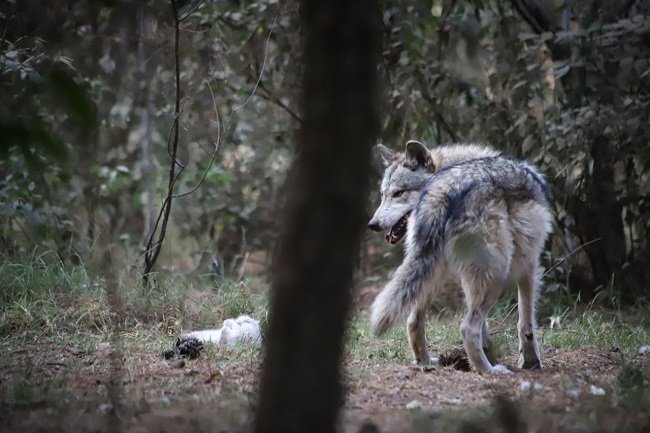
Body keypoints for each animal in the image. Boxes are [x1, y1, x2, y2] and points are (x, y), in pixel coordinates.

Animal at [368, 140, 552, 374]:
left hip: (431, 273)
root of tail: (441, 189)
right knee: (467, 328)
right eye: (384, 194)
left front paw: (493, 355)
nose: (372, 225)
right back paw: (490, 371)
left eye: (398, 193)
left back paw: (426, 362)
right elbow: (526, 322)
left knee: (413, 320)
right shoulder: (530, 264)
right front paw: (530, 361)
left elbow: (488, 332)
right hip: (496, 274)